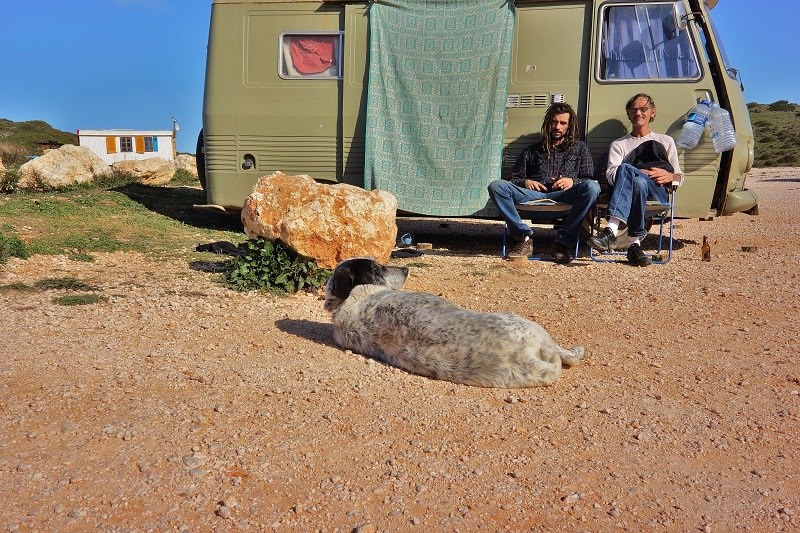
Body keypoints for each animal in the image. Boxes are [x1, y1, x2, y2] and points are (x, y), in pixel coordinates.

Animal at [322, 258, 584, 386]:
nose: (406, 268)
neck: (349, 300)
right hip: (532, 328)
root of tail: (529, 355)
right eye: (377, 268)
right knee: (565, 353)